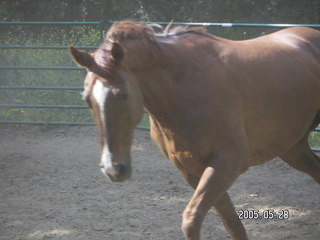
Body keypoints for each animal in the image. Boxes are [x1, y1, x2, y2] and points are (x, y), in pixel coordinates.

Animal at [69, 21, 318, 240]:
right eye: (87, 99)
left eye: (122, 95)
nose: (113, 169)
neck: (184, 88)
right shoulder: (192, 170)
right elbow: (232, 224)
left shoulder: (228, 164)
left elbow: (191, 219)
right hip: (293, 148)